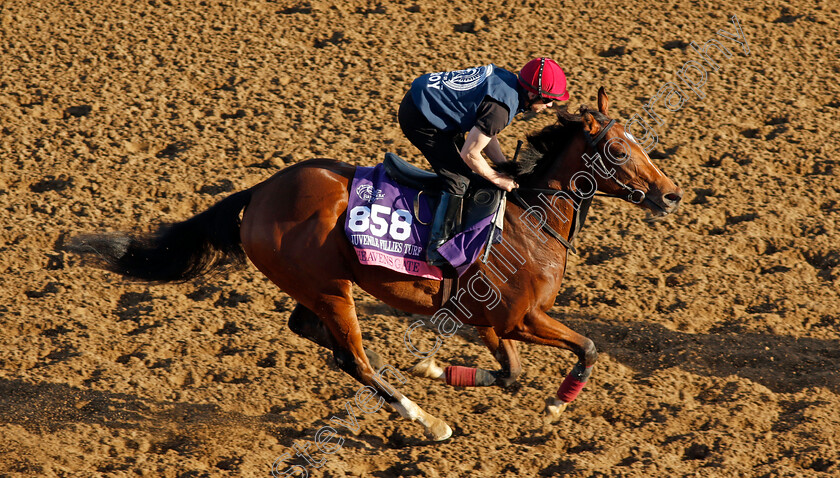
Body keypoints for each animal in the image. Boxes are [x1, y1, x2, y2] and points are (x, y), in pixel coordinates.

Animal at [70, 88, 684, 440]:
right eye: (620, 151)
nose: (672, 195)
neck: (530, 218)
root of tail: (261, 191)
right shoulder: (517, 318)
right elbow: (586, 348)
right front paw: (554, 406)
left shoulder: (490, 323)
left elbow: (511, 373)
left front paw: (435, 367)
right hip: (331, 287)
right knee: (354, 360)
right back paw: (427, 421)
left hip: (320, 286)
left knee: (309, 329)